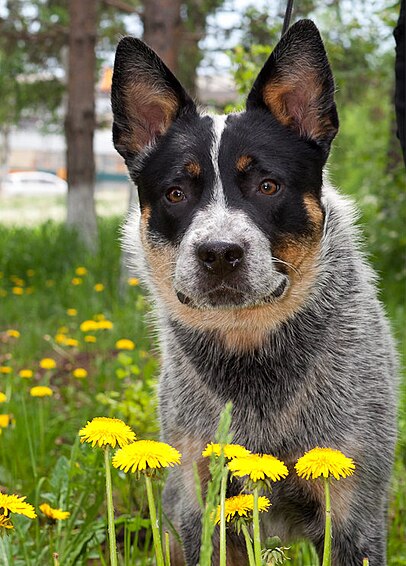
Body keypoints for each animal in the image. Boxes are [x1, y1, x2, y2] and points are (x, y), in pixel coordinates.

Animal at [110, 18, 396, 566]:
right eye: (176, 193)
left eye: (267, 185)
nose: (220, 253)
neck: (251, 351)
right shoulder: (203, 498)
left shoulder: (353, 506)